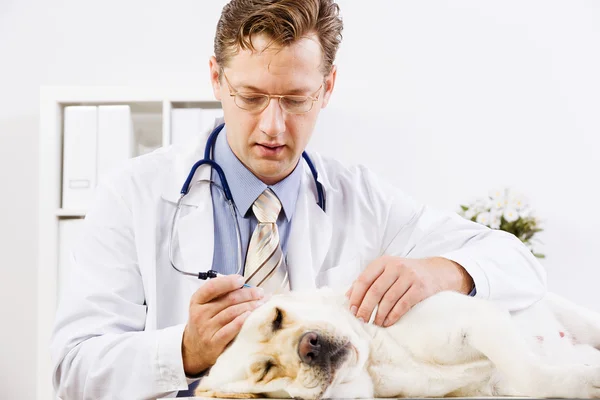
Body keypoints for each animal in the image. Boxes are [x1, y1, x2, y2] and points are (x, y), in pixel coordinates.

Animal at [197, 290, 600, 398]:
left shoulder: (475, 319)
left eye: (277, 317)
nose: (309, 346)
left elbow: (529, 371)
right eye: (266, 370)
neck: (375, 359)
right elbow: (531, 377)